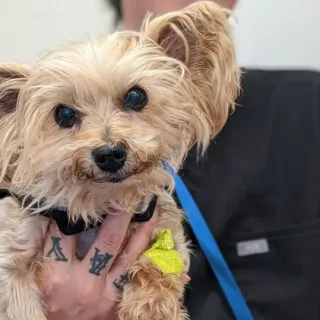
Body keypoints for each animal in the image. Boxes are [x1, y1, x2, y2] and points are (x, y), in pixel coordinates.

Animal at [0, 1, 239, 318]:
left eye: (136, 96)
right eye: (63, 114)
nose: (110, 153)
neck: (98, 210)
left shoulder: (166, 233)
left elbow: (160, 265)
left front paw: (152, 305)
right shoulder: (13, 258)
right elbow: (21, 303)